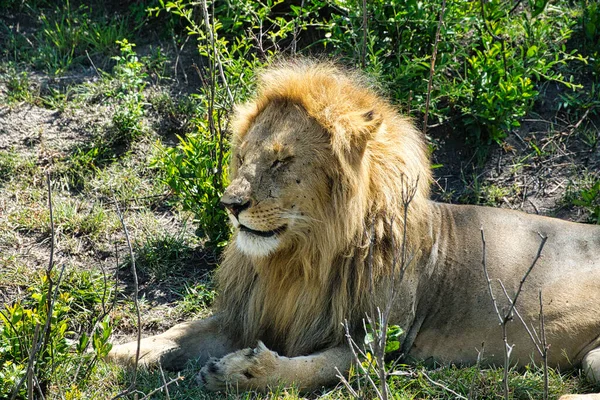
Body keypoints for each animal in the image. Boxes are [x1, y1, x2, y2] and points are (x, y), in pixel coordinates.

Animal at [108, 59, 600, 396]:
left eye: (282, 161)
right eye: (243, 157)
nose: (230, 205)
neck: (299, 259)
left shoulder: (380, 341)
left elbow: (309, 368)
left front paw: (239, 371)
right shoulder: (250, 312)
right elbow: (183, 332)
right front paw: (127, 349)